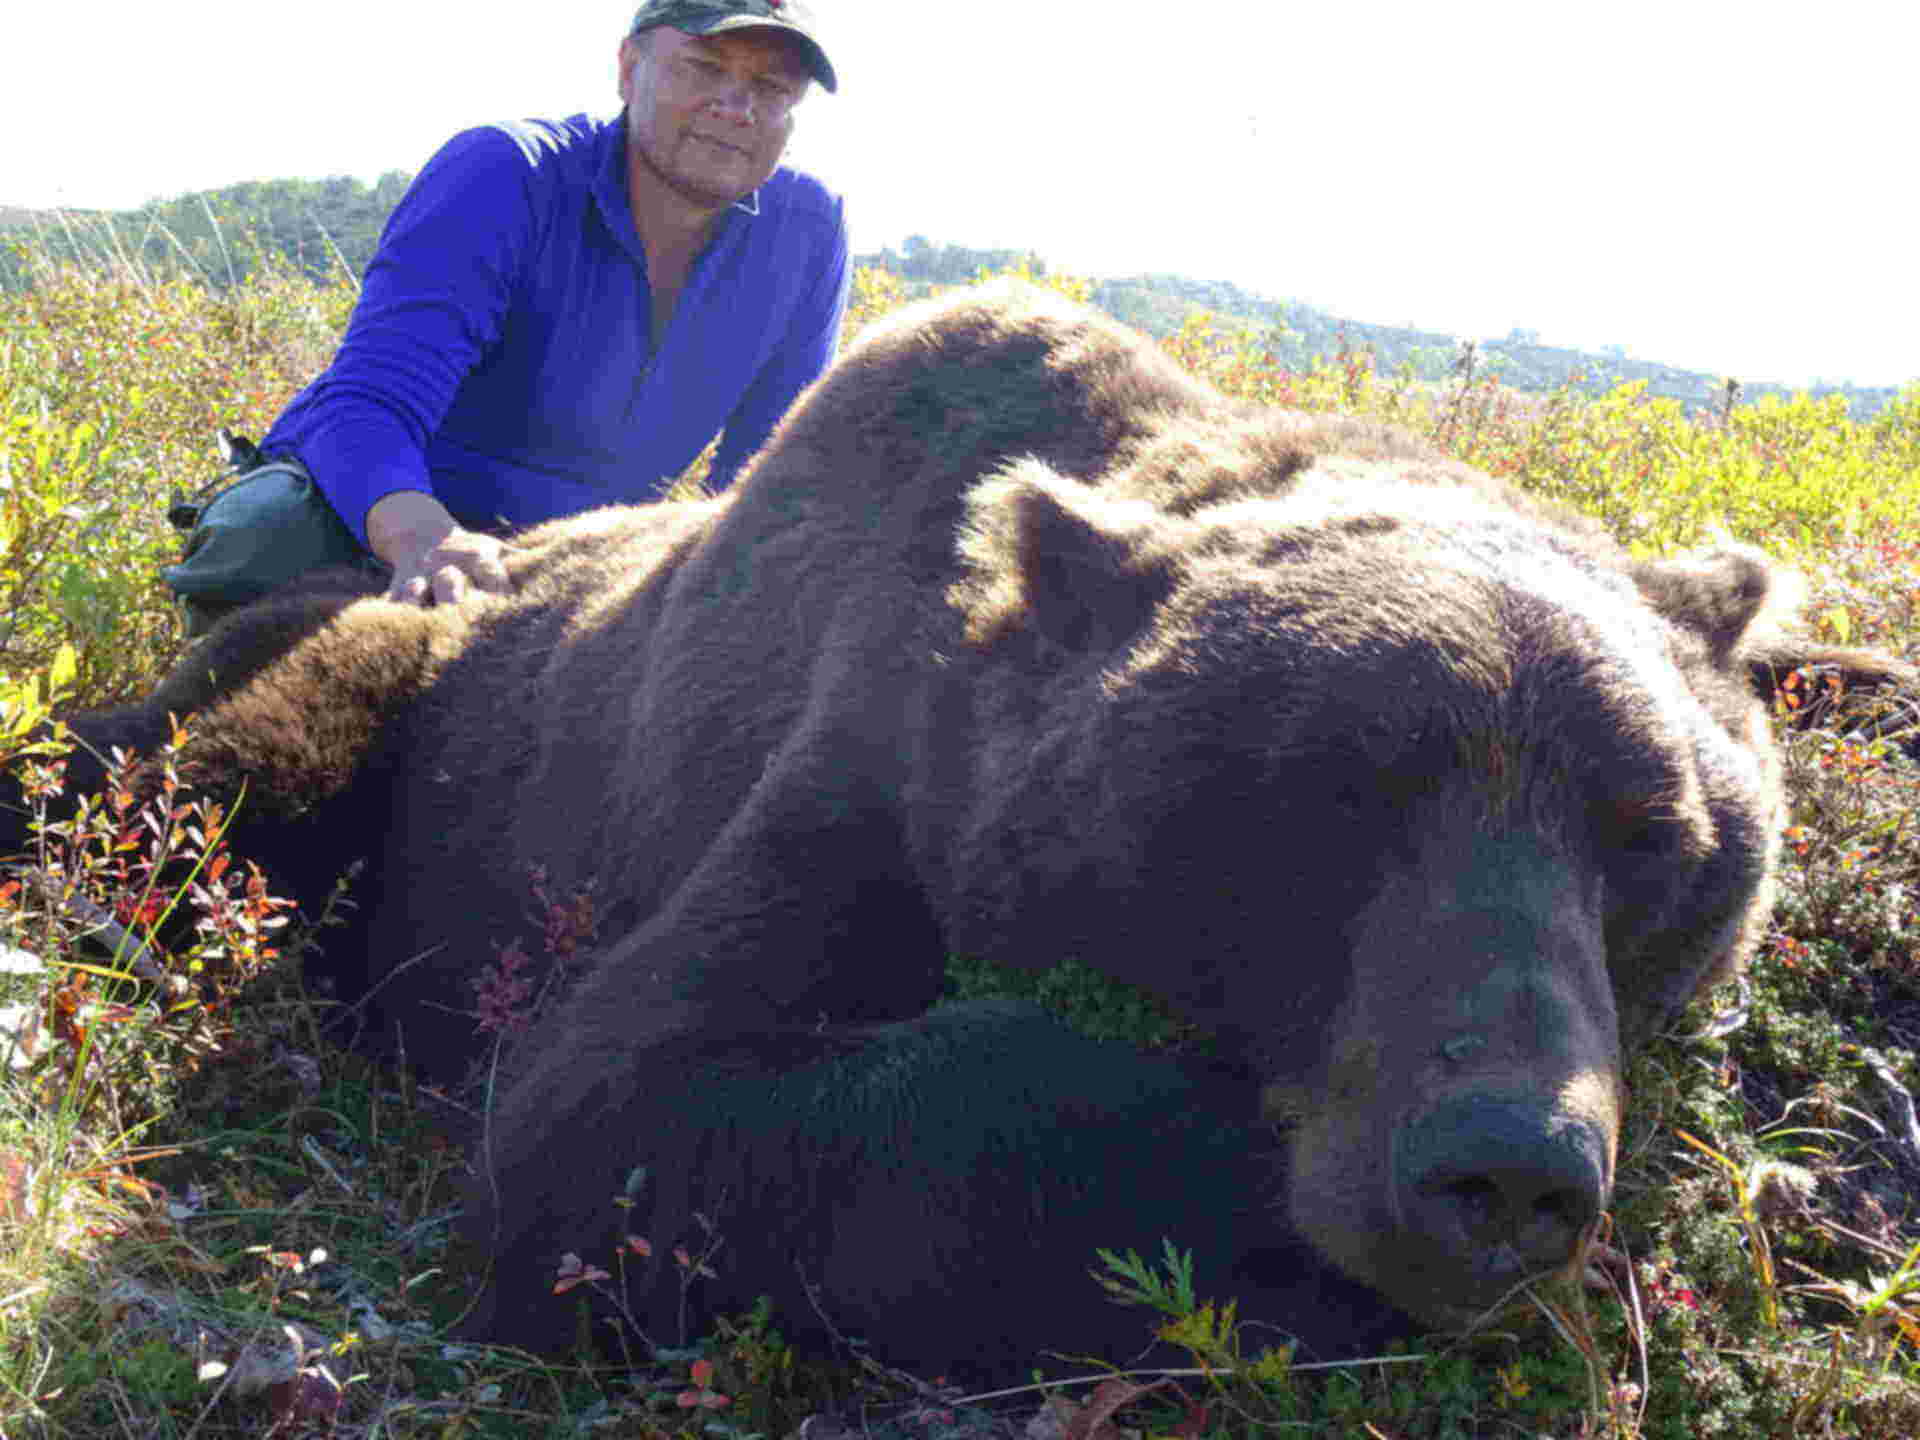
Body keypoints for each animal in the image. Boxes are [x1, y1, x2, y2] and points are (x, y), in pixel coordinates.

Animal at [11, 278, 1904, 1374]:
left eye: (1652, 833)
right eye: (1330, 795)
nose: (1505, 1167)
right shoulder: (861, 767)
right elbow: (621, 1117)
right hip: (381, 689)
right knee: (187, 775)